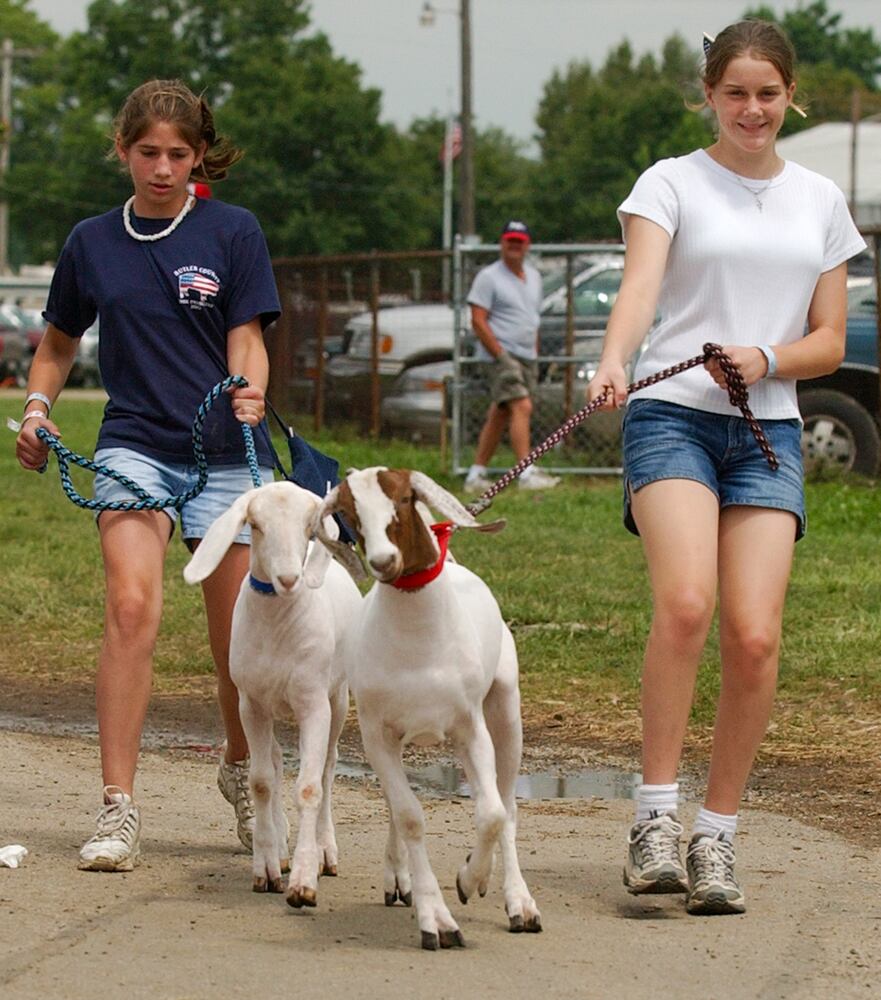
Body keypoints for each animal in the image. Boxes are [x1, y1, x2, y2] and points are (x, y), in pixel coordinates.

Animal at [184, 480, 362, 912]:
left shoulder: (313, 703)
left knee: (328, 766)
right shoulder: (252, 704)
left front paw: (303, 881)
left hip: (338, 697)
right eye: (257, 525)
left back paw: (326, 853)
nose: (289, 578)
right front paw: (265, 869)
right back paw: (281, 847)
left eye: (308, 526)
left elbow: (311, 786)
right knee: (279, 762)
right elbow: (262, 781)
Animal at [310, 468, 544, 952]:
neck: (421, 645)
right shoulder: (377, 733)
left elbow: (493, 813)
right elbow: (409, 816)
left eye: (403, 499)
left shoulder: (470, 727)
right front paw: (436, 918)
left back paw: (519, 903)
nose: (384, 561)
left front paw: (470, 880)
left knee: (508, 804)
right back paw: (399, 880)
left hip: (506, 710)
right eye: (351, 514)